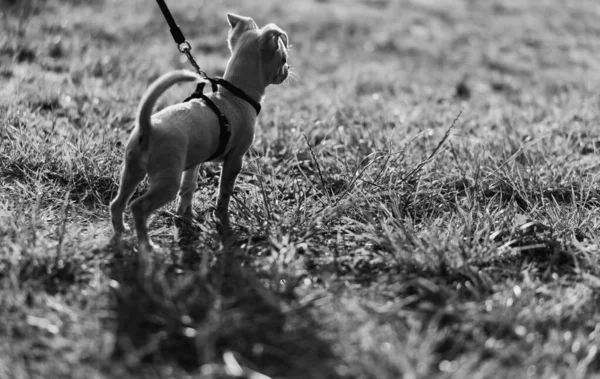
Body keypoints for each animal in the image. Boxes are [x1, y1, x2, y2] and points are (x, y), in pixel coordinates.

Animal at [111, 13, 292, 254]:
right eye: (282, 58)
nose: (288, 69)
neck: (233, 96)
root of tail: (147, 126)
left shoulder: (193, 163)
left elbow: (188, 188)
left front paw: (186, 216)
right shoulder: (235, 159)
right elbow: (224, 193)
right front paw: (222, 221)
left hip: (132, 171)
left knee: (117, 203)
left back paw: (120, 233)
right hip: (166, 181)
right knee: (138, 207)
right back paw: (147, 246)